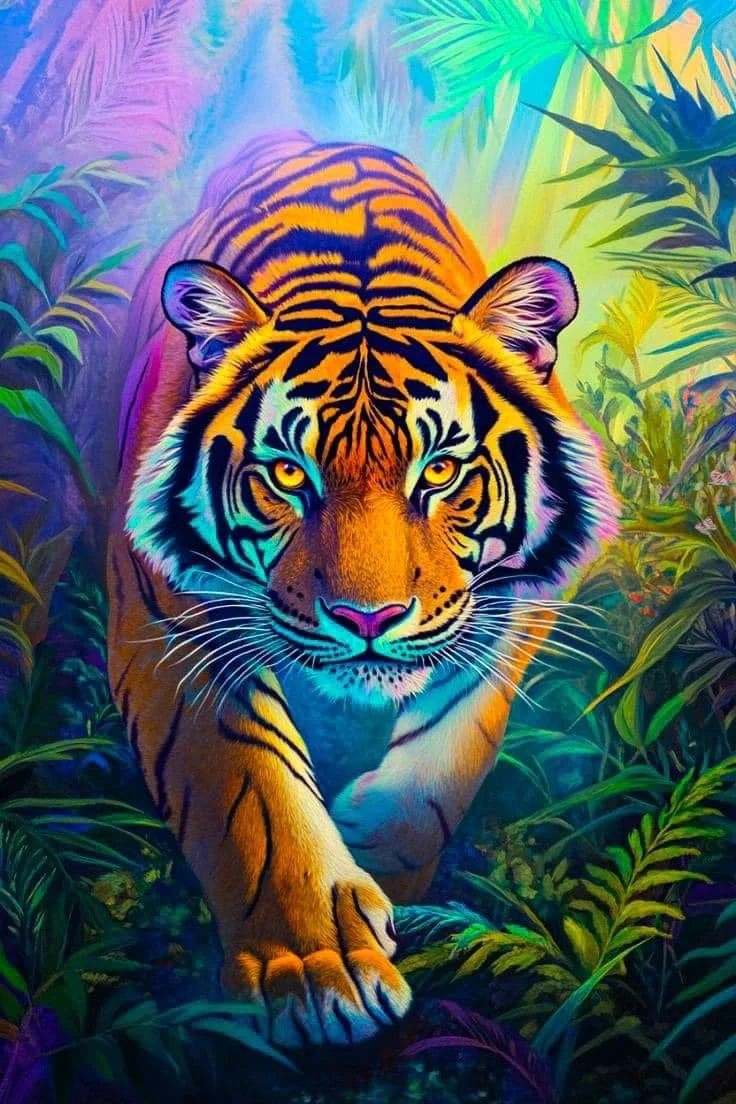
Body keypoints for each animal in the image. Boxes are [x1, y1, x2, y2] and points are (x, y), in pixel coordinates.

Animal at [107, 130, 618, 1049]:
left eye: (440, 471)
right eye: (287, 473)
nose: (368, 617)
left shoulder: (513, 611)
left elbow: (448, 759)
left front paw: (389, 875)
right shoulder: (169, 628)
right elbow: (253, 795)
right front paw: (319, 968)